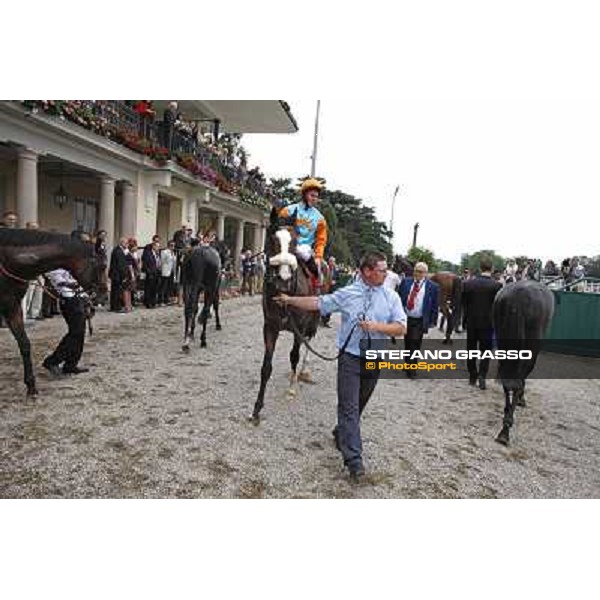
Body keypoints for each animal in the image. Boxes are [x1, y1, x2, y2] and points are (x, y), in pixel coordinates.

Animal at [251, 209, 322, 424]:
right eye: (272, 239)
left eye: (295, 241)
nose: (283, 279)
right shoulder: (270, 327)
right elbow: (266, 367)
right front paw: (257, 408)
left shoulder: (299, 327)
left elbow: (294, 356)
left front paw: (291, 389)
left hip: (314, 320)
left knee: (308, 343)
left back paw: (303, 372)